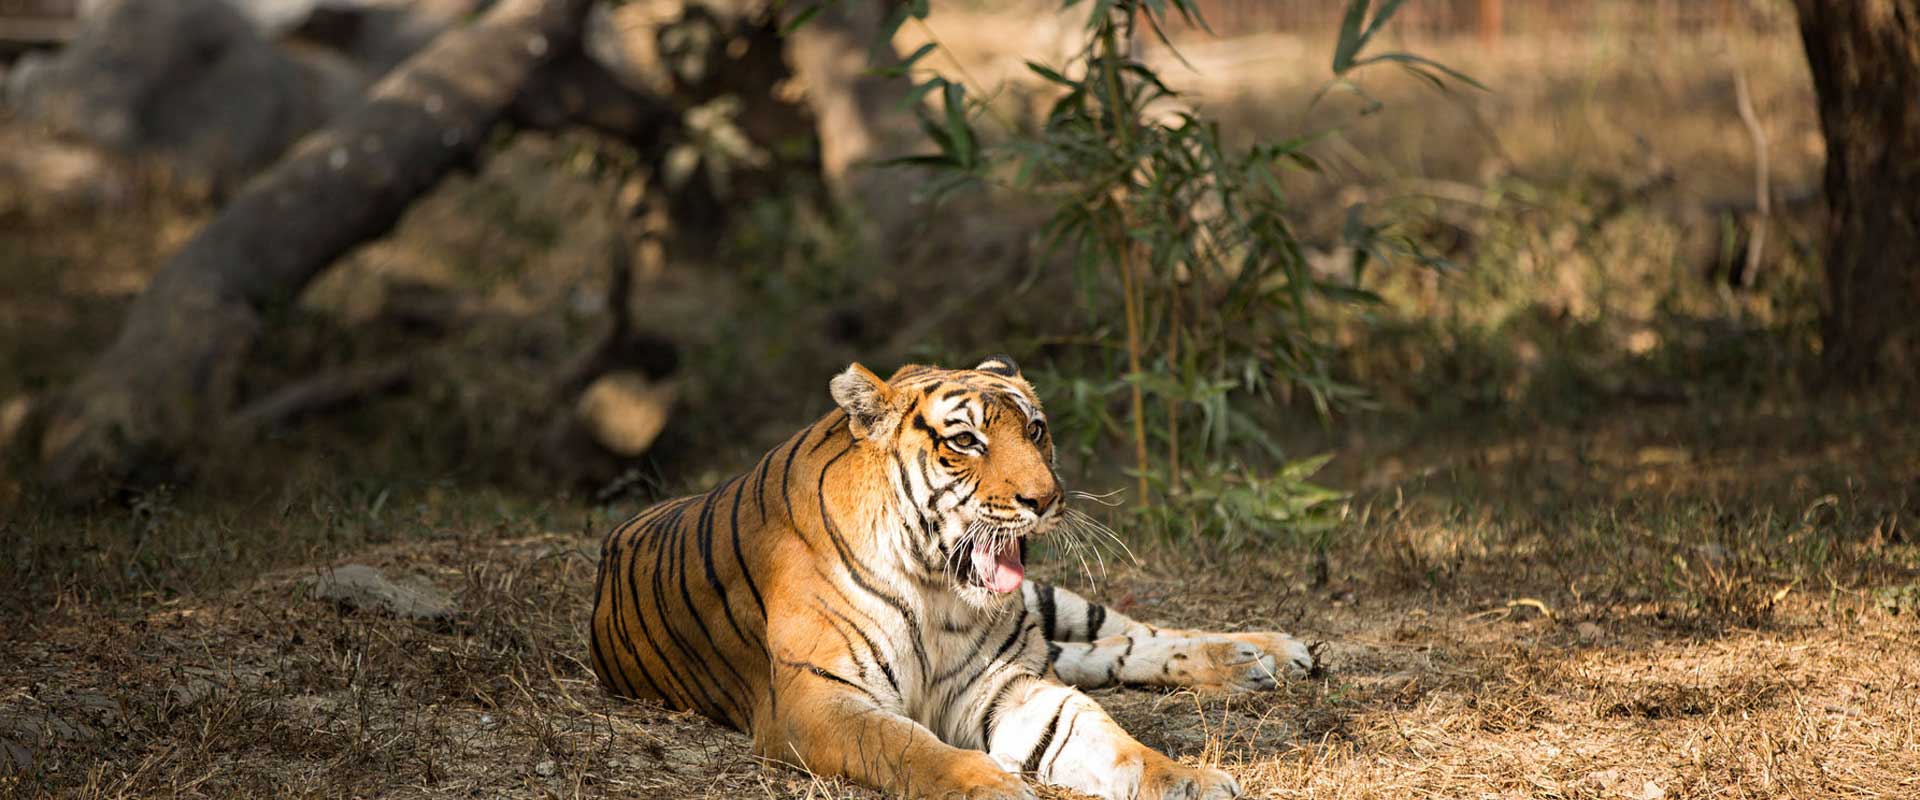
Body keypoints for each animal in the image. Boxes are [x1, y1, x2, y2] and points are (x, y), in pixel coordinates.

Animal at [589, 357, 1315, 800]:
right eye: (965, 441)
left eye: (1036, 430)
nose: (1046, 500)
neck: (934, 589)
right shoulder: (815, 699)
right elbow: (909, 746)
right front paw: (992, 784)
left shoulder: (999, 682)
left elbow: (1096, 731)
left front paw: (1186, 779)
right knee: (1096, 654)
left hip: (1046, 605)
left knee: (1131, 635)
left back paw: (1265, 651)